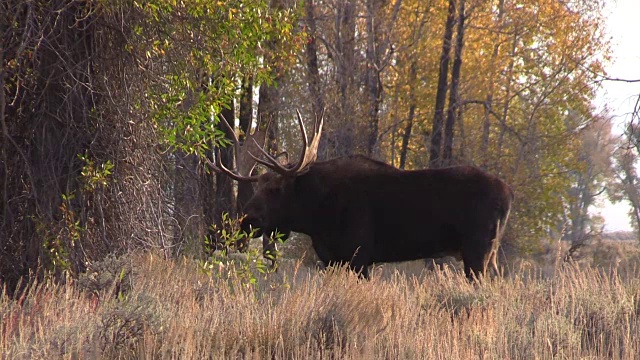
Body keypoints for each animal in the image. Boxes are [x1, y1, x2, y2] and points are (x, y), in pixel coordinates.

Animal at [208, 111, 512, 280]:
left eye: (276, 189)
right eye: (256, 187)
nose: (247, 220)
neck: (317, 217)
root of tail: (509, 194)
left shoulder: (360, 256)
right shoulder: (333, 259)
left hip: (478, 250)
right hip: (490, 253)